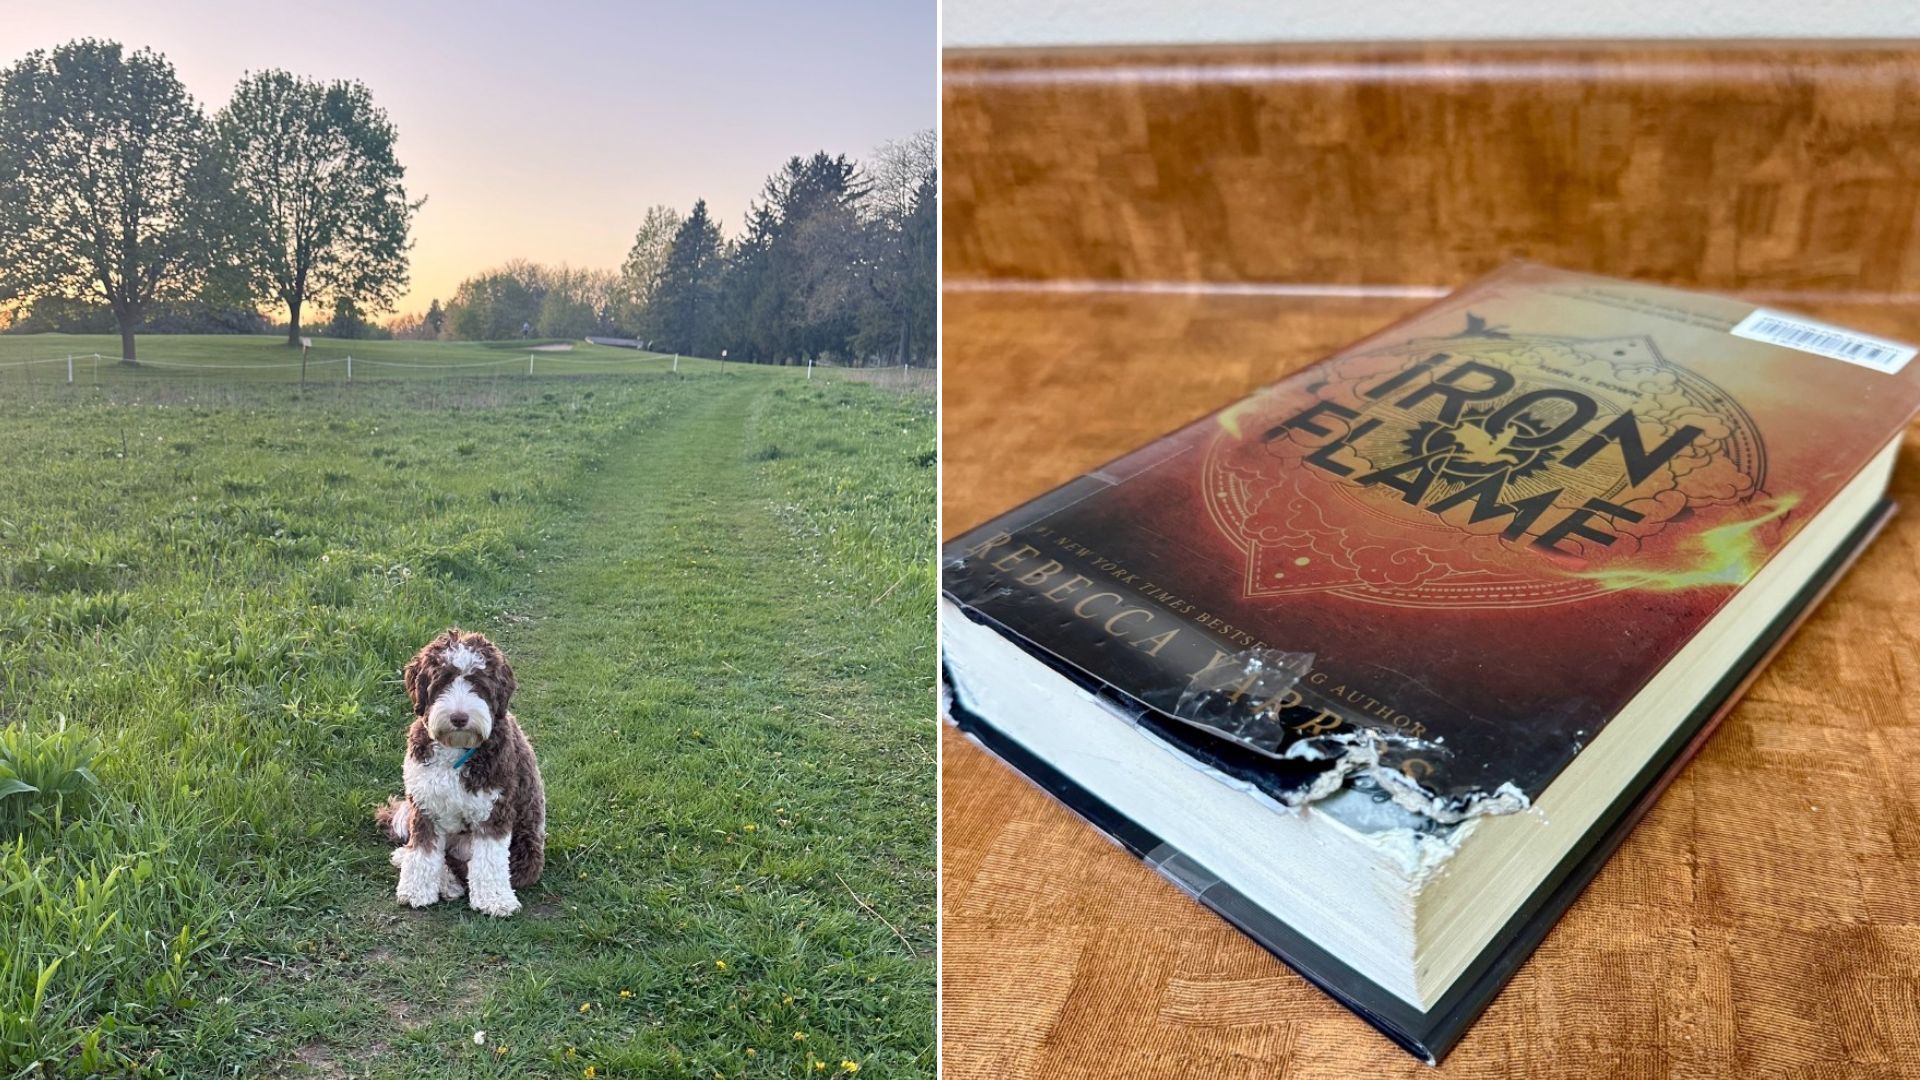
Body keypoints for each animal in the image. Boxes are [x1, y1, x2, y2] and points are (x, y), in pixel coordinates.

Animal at [374, 626, 545, 910]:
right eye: (442, 681)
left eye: (479, 684)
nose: (459, 718)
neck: (456, 748)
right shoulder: (425, 804)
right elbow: (422, 851)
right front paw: (416, 890)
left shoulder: (494, 808)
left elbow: (489, 859)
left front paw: (494, 899)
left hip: (526, 853)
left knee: (461, 866)